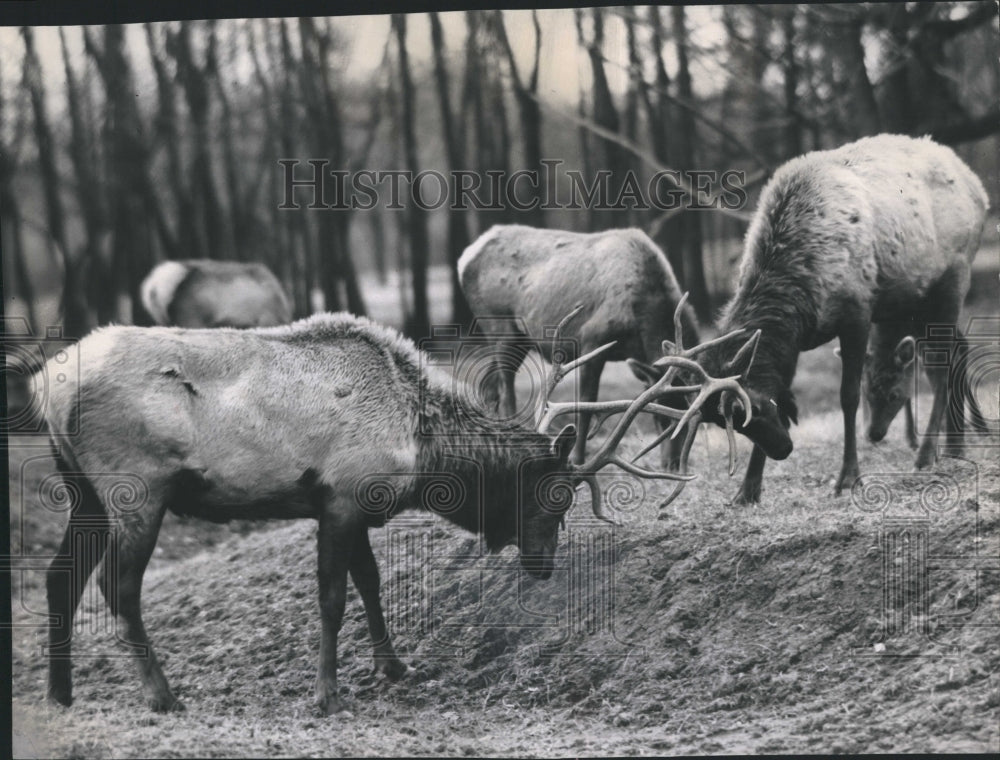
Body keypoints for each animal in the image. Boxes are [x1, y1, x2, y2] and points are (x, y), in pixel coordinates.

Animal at [37, 305, 753, 715]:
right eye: (555, 496)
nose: (542, 566)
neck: (421, 447)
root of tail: (48, 384)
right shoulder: (340, 496)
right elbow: (333, 596)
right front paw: (327, 695)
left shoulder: (352, 504)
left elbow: (370, 583)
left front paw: (393, 666)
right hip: (137, 489)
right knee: (116, 585)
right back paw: (162, 696)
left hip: (83, 494)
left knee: (58, 578)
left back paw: (60, 692)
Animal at [458, 224, 701, 469]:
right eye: (658, 418)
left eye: (692, 415)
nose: (671, 464)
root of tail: (464, 258)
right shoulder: (592, 340)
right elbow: (586, 403)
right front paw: (577, 458)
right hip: (500, 325)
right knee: (506, 390)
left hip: (520, 340)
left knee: (488, 386)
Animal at [673, 134, 988, 505]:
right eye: (732, 423)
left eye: (752, 409)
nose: (783, 449)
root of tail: (977, 186)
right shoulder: (793, 340)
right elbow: (784, 387)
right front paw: (747, 489)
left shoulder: (857, 314)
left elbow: (848, 397)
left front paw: (849, 476)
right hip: (916, 299)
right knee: (954, 354)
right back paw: (955, 445)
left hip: (952, 279)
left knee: (941, 370)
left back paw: (927, 454)